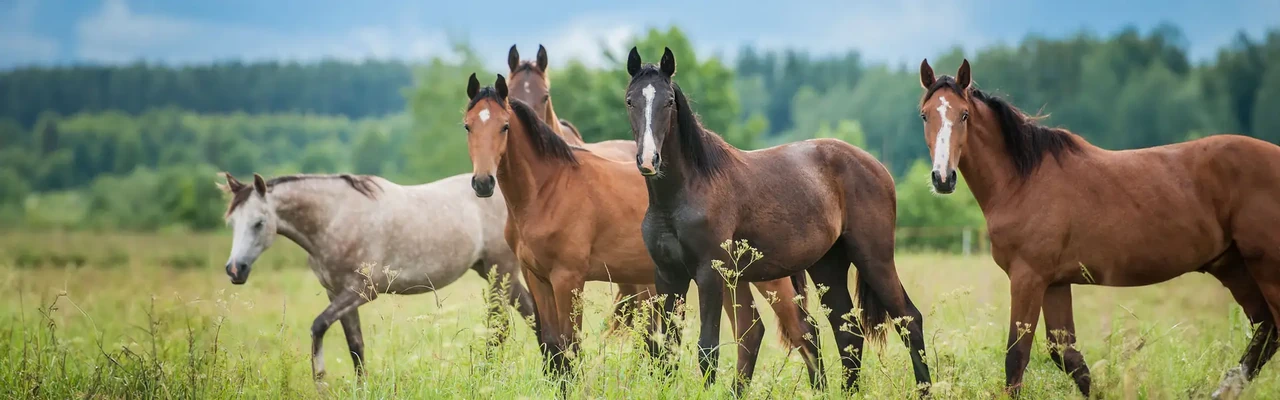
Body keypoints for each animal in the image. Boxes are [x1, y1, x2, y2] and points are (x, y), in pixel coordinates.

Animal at [217, 172, 536, 384]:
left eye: (259, 223)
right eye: (232, 222)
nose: (235, 270)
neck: (334, 218)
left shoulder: (361, 291)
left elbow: (318, 326)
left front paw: (320, 381)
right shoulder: (337, 293)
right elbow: (355, 346)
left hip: (500, 273)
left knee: (499, 328)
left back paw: (489, 377)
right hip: (494, 273)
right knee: (531, 314)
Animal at [462, 73, 824, 391]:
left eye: (504, 126)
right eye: (467, 125)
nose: (483, 182)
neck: (549, 189)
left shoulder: (568, 279)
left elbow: (570, 345)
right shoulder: (537, 277)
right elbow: (552, 345)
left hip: (768, 280)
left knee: (803, 331)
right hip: (735, 278)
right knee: (751, 332)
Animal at [623, 47, 932, 395]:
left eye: (668, 102)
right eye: (631, 100)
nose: (649, 160)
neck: (686, 191)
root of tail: (877, 167)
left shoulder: (710, 274)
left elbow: (707, 349)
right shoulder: (668, 276)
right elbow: (666, 350)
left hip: (874, 259)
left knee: (909, 320)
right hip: (828, 267)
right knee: (847, 331)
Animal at [917, 59, 1280, 398]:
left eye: (964, 114)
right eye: (924, 115)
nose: (943, 178)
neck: (1022, 181)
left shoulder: (1027, 278)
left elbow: (1016, 357)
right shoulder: (1054, 283)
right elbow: (1068, 357)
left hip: (1266, 270)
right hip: (1233, 266)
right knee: (1267, 329)